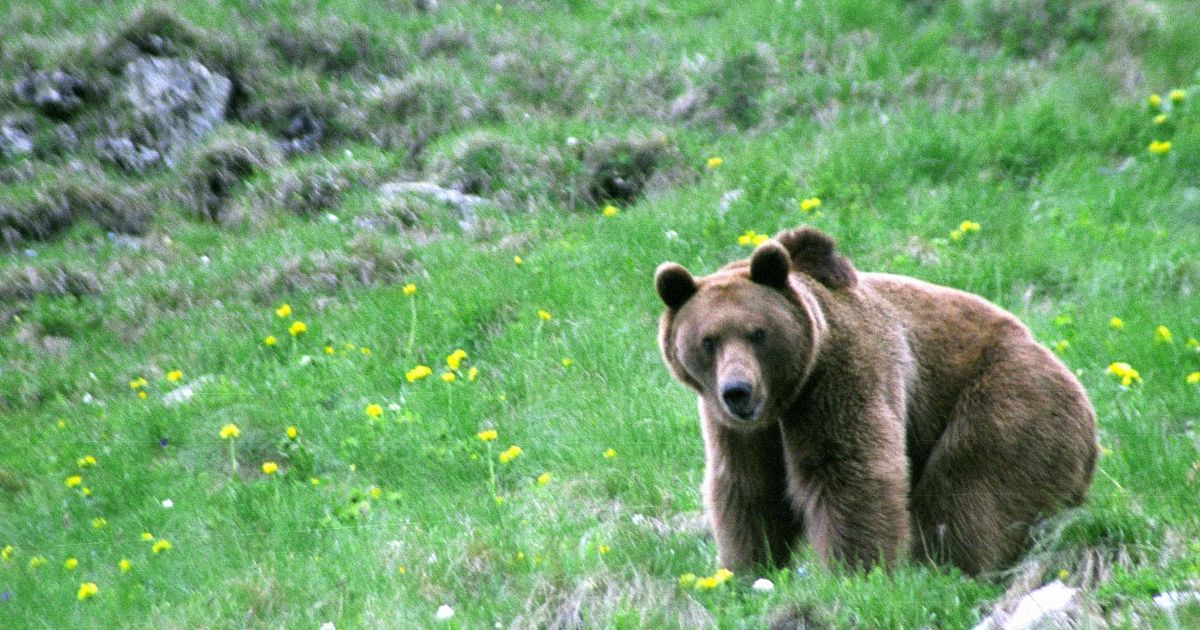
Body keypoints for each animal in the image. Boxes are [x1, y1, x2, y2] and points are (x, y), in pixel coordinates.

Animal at [657, 226, 1099, 573]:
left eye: (758, 333)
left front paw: (856, 572)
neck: (787, 395)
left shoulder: (843, 373)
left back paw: (943, 567)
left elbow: (848, 470)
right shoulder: (738, 428)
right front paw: (745, 570)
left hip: (1011, 396)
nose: (738, 390)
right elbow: (748, 488)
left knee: (969, 487)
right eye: (708, 340)